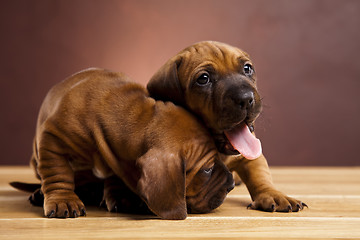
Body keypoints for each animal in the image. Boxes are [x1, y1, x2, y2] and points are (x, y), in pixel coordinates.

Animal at [14, 68, 233, 219]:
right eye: (207, 169)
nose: (231, 184)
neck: (137, 115)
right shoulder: (53, 139)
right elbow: (58, 173)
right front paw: (63, 199)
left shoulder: (117, 158)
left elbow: (116, 178)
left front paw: (122, 196)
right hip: (37, 159)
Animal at [146, 41, 306, 212]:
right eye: (203, 79)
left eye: (247, 68)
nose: (246, 99)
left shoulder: (252, 157)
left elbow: (261, 175)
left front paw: (274, 194)